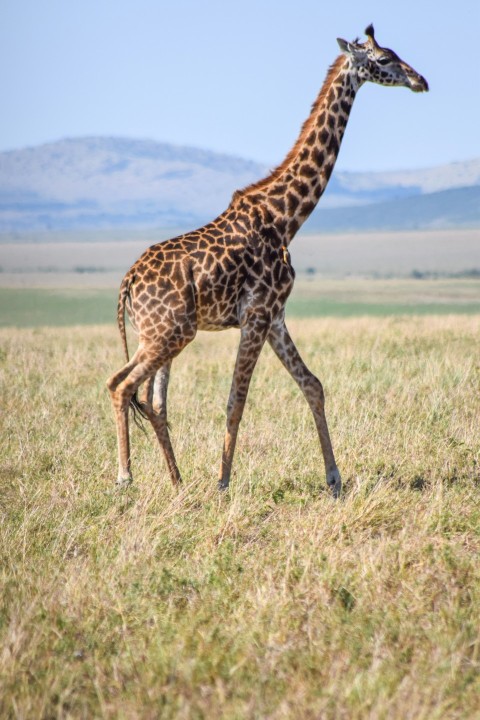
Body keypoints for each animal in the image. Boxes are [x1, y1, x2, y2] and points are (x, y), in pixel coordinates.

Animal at [107, 25, 428, 497]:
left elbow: (312, 385)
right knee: (122, 385)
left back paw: (177, 482)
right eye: (385, 59)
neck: (285, 217)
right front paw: (223, 483)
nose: (421, 81)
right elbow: (236, 400)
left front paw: (334, 479)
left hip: (161, 333)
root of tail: (128, 281)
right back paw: (126, 477)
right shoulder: (257, 314)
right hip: (170, 333)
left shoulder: (275, 315)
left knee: (151, 399)